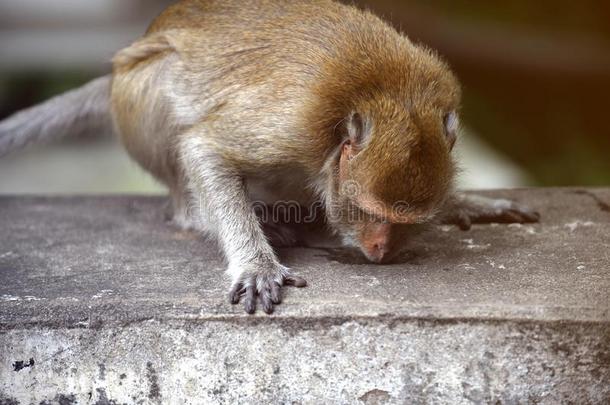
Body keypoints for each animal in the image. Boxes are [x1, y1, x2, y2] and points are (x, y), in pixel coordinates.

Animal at [0, 0, 536, 314]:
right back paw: (207, 216)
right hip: (136, 93)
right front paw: (255, 265)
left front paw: (465, 203)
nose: (381, 249)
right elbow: (205, 146)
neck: (378, 96)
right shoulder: (292, 125)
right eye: (370, 212)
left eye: (405, 221)